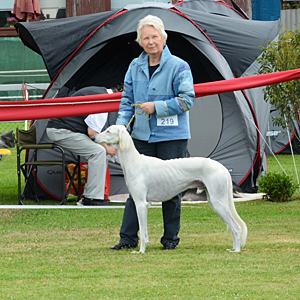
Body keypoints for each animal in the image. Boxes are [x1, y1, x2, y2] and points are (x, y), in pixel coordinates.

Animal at [92, 124, 247, 253]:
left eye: (108, 131)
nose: (93, 137)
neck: (134, 161)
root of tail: (222, 167)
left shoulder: (141, 204)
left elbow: (143, 232)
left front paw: (141, 251)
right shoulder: (140, 202)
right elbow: (144, 232)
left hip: (218, 202)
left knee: (236, 227)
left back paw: (237, 250)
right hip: (214, 201)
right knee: (234, 227)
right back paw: (234, 248)